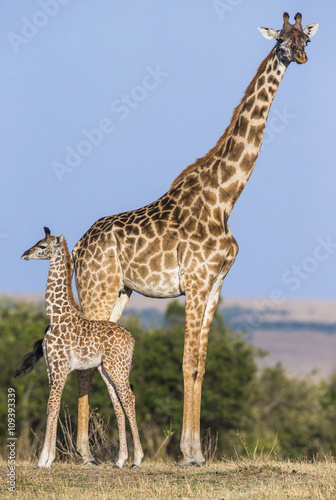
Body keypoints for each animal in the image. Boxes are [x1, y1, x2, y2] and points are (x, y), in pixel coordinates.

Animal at [19, 227, 143, 468]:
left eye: (42, 245)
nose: (24, 254)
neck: (56, 316)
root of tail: (132, 340)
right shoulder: (51, 367)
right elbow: (54, 407)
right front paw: (48, 458)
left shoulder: (60, 367)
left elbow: (51, 406)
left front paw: (43, 460)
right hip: (107, 369)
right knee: (119, 403)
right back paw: (120, 460)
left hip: (117, 368)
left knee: (128, 399)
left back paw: (137, 459)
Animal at [71, 12, 318, 464]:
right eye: (281, 42)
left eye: (305, 39)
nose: (301, 57)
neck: (225, 199)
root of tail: (78, 247)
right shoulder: (196, 283)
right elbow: (187, 361)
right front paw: (188, 453)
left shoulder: (216, 285)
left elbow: (202, 362)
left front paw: (197, 450)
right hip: (98, 287)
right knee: (85, 352)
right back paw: (85, 453)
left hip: (119, 292)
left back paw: (95, 452)